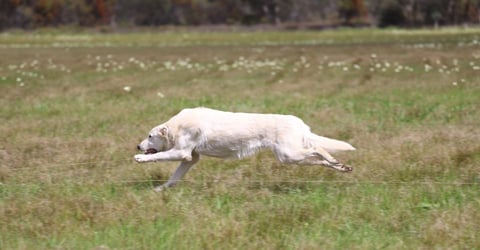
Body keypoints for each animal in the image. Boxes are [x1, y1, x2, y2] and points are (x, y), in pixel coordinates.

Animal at [133, 106, 354, 190]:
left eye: (150, 136)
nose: (138, 145)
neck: (176, 126)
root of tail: (298, 122)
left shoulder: (182, 153)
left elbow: (156, 156)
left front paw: (140, 159)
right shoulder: (191, 159)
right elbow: (174, 178)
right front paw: (160, 190)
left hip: (288, 154)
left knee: (318, 149)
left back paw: (335, 161)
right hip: (290, 157)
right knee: (321, 159)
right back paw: (341, 166)